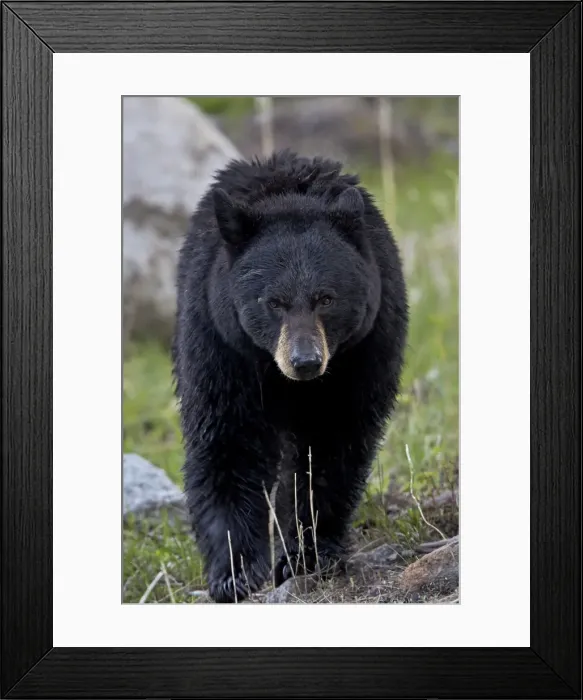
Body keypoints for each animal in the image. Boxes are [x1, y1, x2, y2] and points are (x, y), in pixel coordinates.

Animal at [172, 150, 408, 603]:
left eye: (326, 299)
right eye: (274, 302)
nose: (306, 361)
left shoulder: (362, 352)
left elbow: (331, 446)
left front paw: (306, 554)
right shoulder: (220, 345)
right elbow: (228, 438)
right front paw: (234, 572)